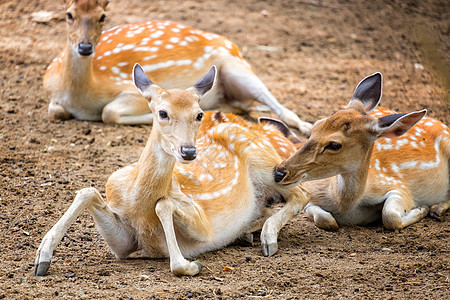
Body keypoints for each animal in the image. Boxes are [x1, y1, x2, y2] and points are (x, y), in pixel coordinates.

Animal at [34, 63, 310, 276]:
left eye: (199, 114)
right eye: (162, 112)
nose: (188, 151)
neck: (138, 204)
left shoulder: (203, 224)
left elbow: (164, 205)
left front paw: (190, 265)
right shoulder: (123, 244)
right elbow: (87, 191)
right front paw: (41, 258)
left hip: (269, 165)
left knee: (302, 195)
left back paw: (266, 237)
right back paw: (249, 233)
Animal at [46, 0, 312, 135]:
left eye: (102, 16)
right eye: (68, 14)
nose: (85, 47)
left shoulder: (132, 90)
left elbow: (108, 112)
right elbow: (56, 111)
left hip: (238, 69)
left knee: (284, 110)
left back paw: (308, 128)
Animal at [272, 72, 448, 232]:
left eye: (334, 145)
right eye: (315, 126)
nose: (279, 172)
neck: (345, 205)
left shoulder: (399, 186)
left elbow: (390, 216)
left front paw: (421, 208)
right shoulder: (311, 193)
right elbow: (326, 219)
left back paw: (437, 208)